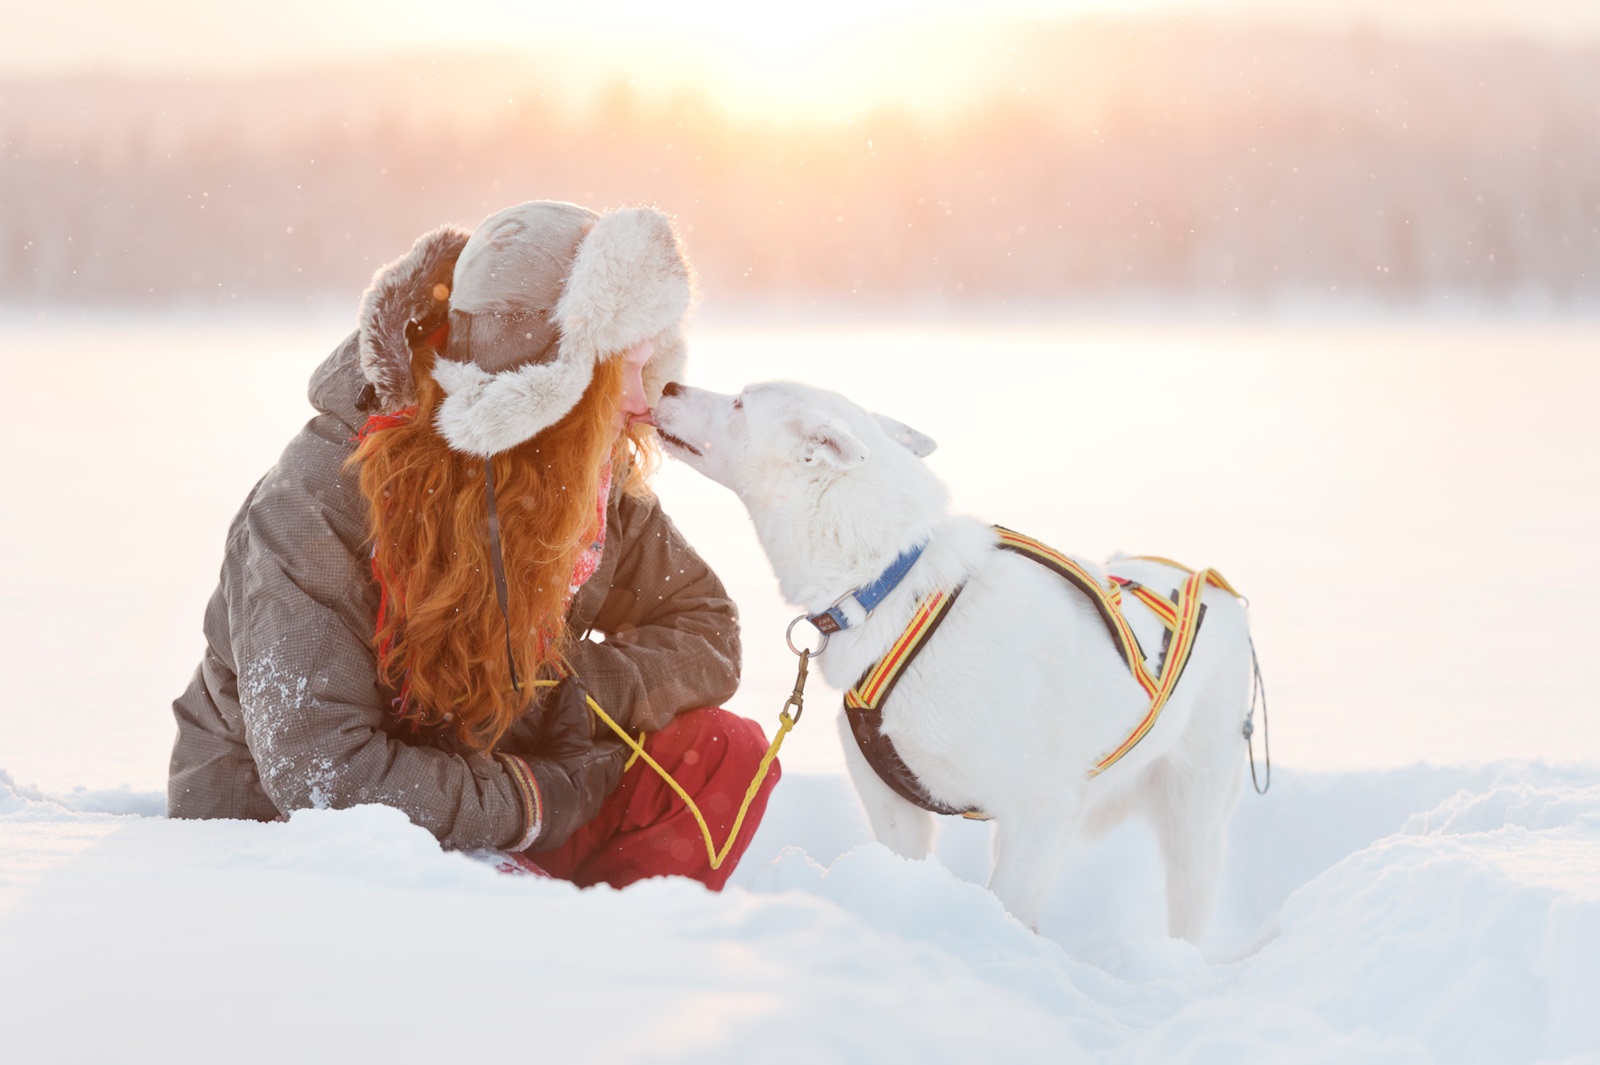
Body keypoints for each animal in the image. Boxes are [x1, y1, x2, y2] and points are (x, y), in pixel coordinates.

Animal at [656, 377, 1254, 933]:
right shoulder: (893, 806)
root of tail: (1210, 582)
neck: (890, 586)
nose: (668, 384)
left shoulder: (1042, 811)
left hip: (1193, 817)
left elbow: (1009, 905)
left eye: (740, 401)